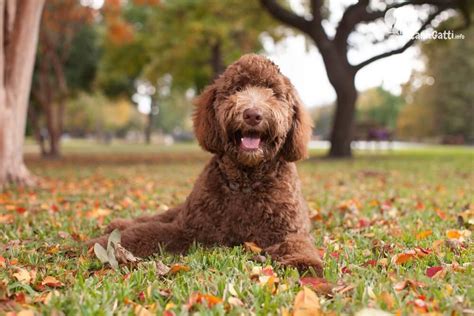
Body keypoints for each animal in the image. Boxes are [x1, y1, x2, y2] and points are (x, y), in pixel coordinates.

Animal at [87, 53, 324, 276]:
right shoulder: (189, 229)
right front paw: (97, 245)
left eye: (273, 92)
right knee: (155, 218)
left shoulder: (288, 231)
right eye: (237, 89)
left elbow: (298, 244)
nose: (252, 114)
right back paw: (118, 225)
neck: (246, 183)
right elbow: (144, 233)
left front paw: (305, 262)